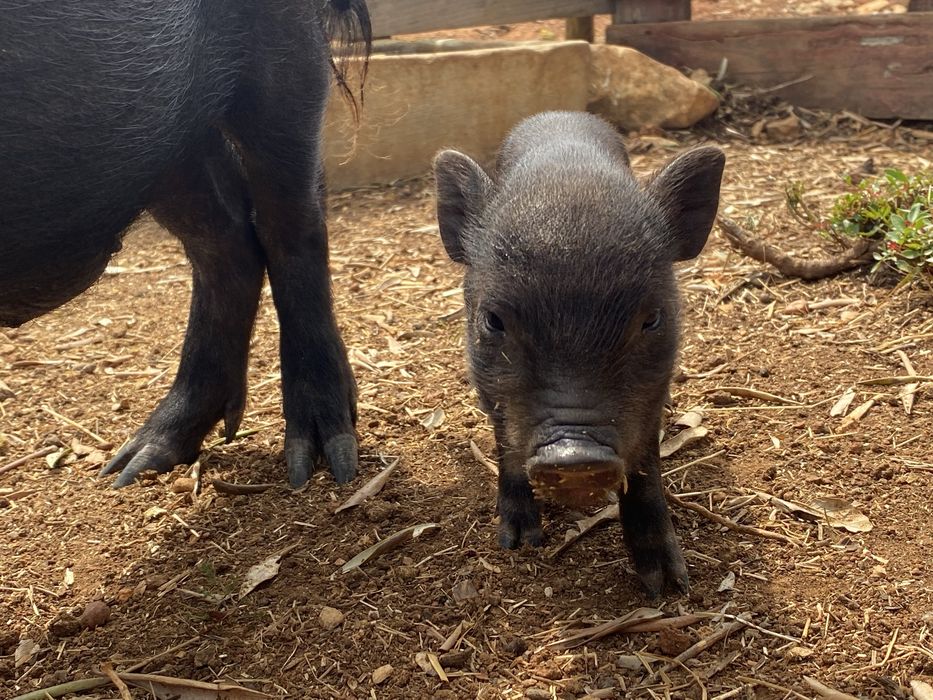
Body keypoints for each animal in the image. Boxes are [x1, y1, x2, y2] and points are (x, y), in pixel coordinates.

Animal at [0, 1, 372, 487]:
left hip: (274, 44)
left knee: (290, 218)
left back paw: (324, 465)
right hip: (165, 125)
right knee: (225, 239)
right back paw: (130, 466)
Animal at [434, 112, 724, 597]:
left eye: (651, 319)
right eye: (493, 320)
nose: (575, 458)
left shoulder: (653, 389)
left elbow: (645, 464)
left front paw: (669, 586)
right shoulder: (489, 387)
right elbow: (504, 444)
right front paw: (518, 543)